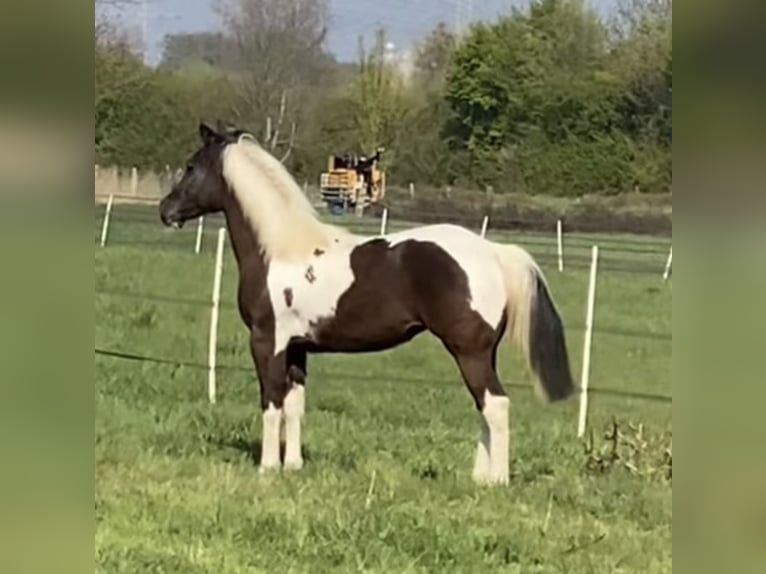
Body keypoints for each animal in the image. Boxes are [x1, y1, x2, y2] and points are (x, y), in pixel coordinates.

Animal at [159, 123, 574, 485]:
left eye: (191, 166)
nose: (166, 211)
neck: (281, 250)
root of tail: (494, 251)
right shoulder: (297, 348)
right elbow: (295, 405)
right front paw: (292, 465)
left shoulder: (267, 342)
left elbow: (271, 402)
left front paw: (267, 467)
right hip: (482, 353)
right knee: (485, 407)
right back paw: (480, 476)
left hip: (468, 350)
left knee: (496, 405)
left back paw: (496, 481)